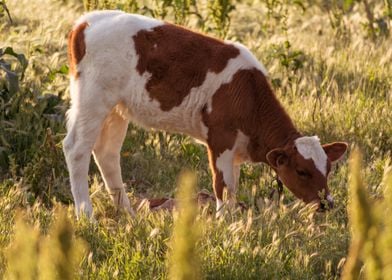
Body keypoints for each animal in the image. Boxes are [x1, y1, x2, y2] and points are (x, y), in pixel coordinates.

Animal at [62, 10, 348, 218]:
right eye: (302, 171)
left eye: (328, 169)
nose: (327, 204)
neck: (248, 94)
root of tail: (85, 22)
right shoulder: (220, 139)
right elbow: (222, 185)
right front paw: (223, 223)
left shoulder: (235, 148)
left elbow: (232, 187)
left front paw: (233, 222)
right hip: (92, 98)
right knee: (77, 149)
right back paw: (86, 215)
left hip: (117, 109)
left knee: (107, 153)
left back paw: (128, 214)